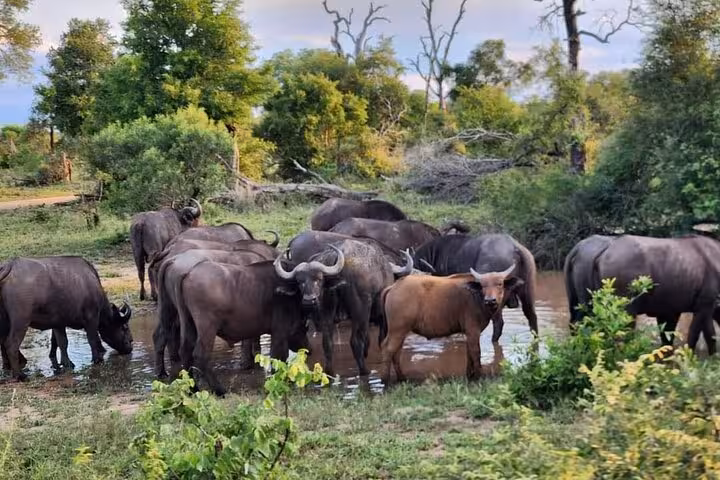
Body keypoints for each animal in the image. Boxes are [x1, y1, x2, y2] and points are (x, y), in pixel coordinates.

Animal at [0, 256, 133, 380]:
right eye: (124, 327)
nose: (130, 345)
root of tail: (10, 265)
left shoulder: (58, 324)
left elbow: (59, 342)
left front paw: (65, 362)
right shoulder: (91, 318)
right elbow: (93, 339)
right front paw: (97, 359)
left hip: (5, 321)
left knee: (3, 341)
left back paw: (9, 365)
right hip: (21, 321)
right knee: (11, 344)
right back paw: (19, 375)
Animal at [175, 260, 311, 396]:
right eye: (301, 282)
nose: (310, 298)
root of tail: (189, 273)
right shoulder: (280, 333)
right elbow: (279, 357)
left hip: (188, 322)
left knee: (185, 351)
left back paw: (192, 389)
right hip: (207, 327)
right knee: (200, 355)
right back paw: (220, 390)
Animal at [274, 240, 413, 376]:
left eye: (319, 279)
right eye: (299, 282)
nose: (309, 300)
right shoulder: (380, 316)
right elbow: (380, 339)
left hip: (327, 314)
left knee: (328, 343)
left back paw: (330, 372)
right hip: (360, 311)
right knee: (356, 341)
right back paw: (364, 371)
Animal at [379, 264, 521, 382]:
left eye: (500, 284)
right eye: (483, 285)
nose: (490, 300)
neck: (476, 297)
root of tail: (394, 286)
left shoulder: (469, 333)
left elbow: (469, 353)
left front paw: (469, 376)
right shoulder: (473, 330)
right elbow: (476, 352)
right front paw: (478, 376)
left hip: (401, 331)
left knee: (396, 352)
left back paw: (402, 378)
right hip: (397, 330)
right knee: (387, 350)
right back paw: (385, 381)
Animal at [565, 234, 720, 353]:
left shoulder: (671, 311)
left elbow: (668, 339)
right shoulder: (705, 305)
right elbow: (699, 336)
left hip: (579, 303)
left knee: (576, 325)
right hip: (624, 310)